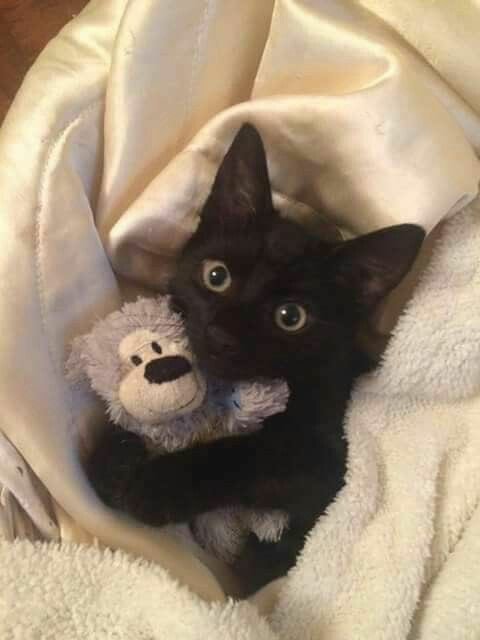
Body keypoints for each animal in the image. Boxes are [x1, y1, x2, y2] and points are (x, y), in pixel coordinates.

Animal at [87, 122, 424, 592]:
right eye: (216, 275)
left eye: (291, 317)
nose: (221, 334)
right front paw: (112, 457)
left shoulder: (329, 461)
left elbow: (245, 453)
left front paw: (154, 486)